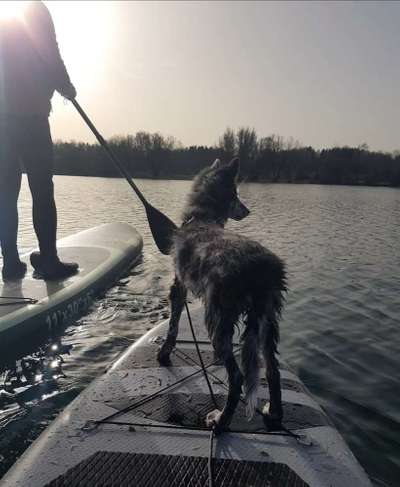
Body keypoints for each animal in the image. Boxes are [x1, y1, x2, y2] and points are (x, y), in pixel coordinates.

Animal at [158, 157, 286, 434]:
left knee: (237, 377)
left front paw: (164, 353)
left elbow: (173, 325)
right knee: (273, 371)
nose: (247, 211)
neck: (201, 219)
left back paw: (221, 420)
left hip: (218, 320)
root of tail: (262, 268)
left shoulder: (178, 287)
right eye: (235, 195)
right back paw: (274, 414)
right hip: (267, 321)